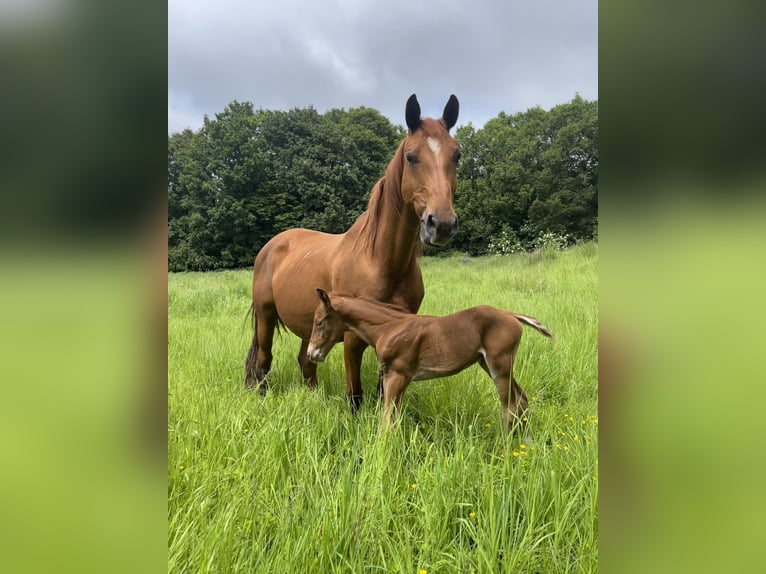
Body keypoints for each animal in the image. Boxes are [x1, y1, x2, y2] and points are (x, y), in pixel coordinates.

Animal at [246, 94, 462, 412]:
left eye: (456, 155)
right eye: (411, 157)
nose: (442, 224)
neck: (381, 261)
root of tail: (271, 246)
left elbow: (383, 391)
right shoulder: (351, 337)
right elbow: (355, 396)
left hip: (308, 323)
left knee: (306, 363)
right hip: (266, 315)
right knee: (263, 361)